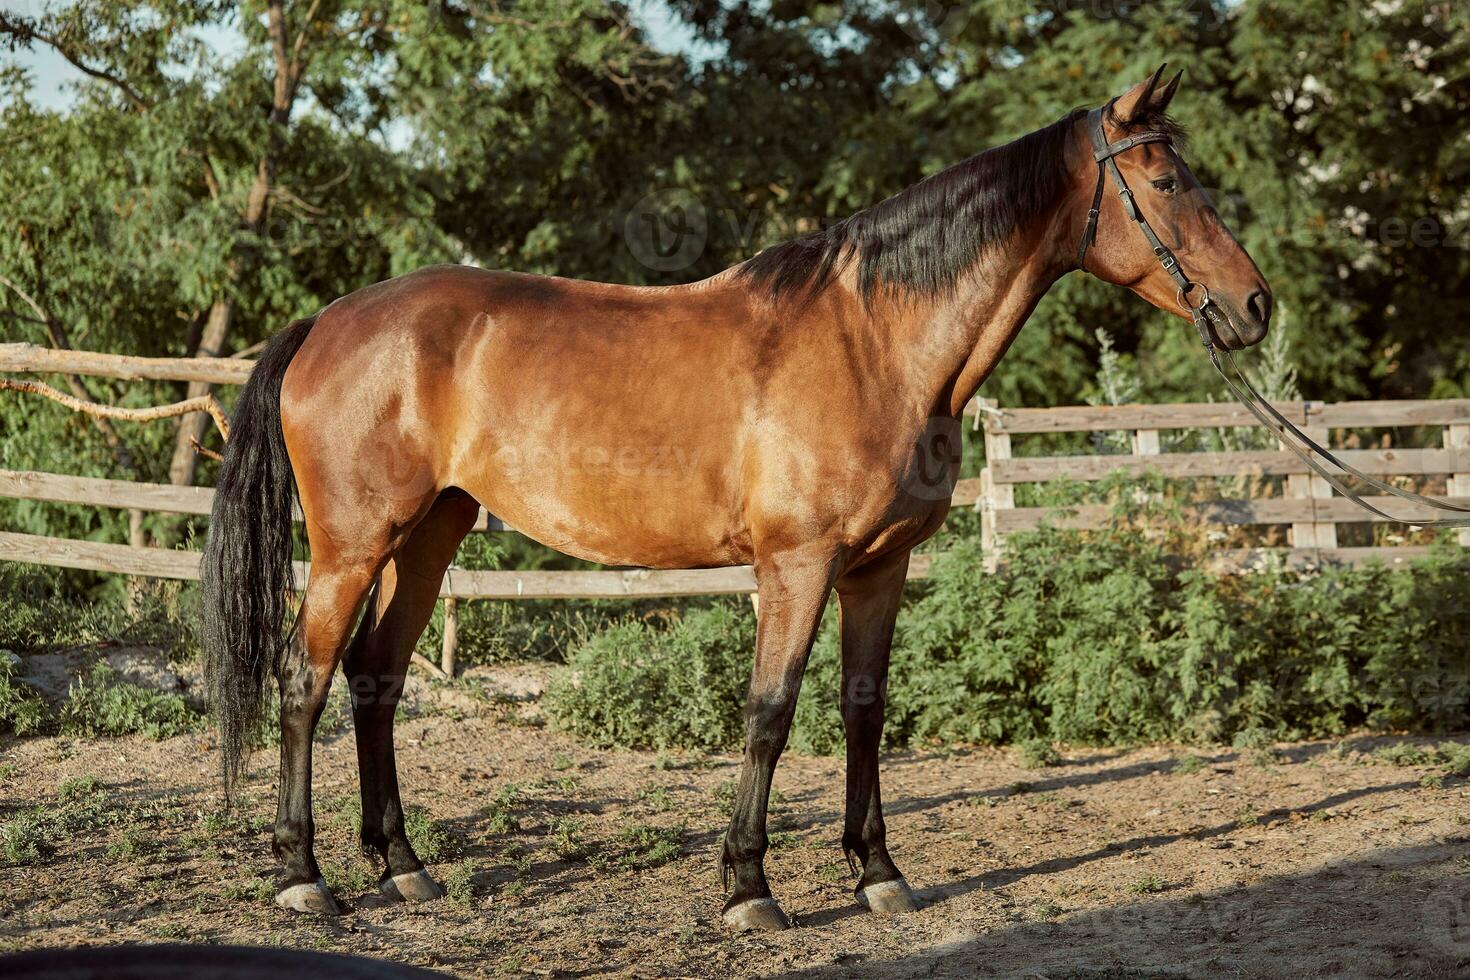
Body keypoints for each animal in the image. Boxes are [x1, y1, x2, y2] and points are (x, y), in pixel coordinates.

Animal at [201, 67, 1270, 928]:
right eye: (1166, 182)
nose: (1254, 306)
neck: (873, 342)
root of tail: (328, 322)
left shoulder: (880, 568)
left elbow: (864, 709)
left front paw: (878, 873)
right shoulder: (795, 566)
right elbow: (770, 711)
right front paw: (748, 888)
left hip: (429, 536)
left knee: (376, 677)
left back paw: (402, 866)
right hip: (352, 546)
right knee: (305, 680)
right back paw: (303, 879)